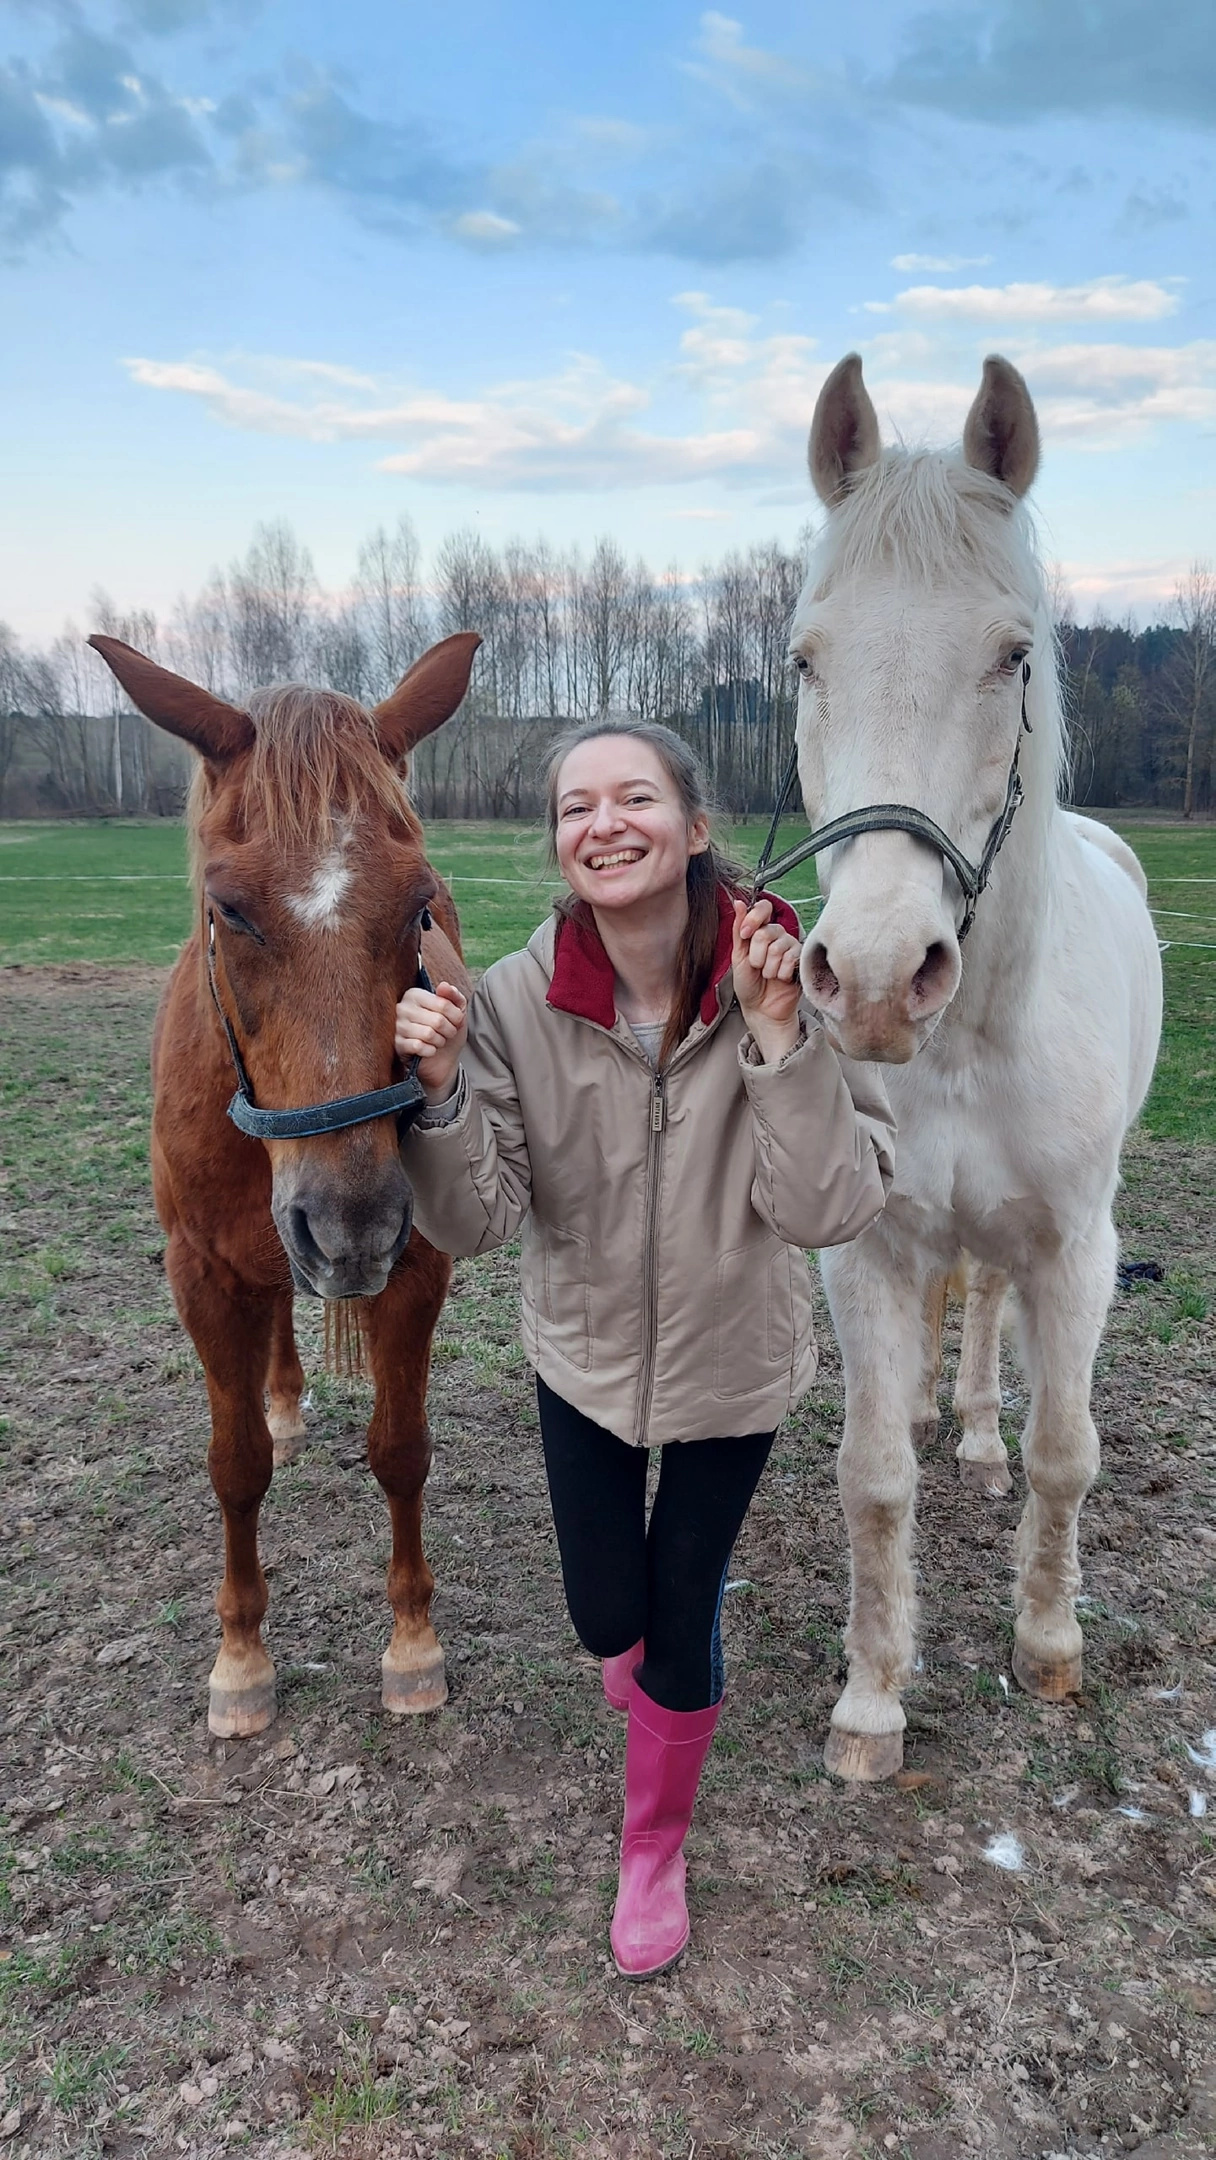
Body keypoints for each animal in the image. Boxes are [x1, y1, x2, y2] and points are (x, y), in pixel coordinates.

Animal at [88, 631, 480, 1739]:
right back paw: (286, 1407)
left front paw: (412, 1645)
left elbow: (401, 1449)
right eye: (227, 908)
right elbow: (234, 1469)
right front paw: (241, 1660)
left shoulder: (413, 1268)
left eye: (419, 903)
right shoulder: (204, 1276)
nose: (351, 1226)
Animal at [785, 353, 1162, 1781]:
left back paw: (985, 1441)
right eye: (805, 658)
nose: (877, 978)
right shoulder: (867, 1250)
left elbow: (1067, 1453)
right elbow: (872, 1477)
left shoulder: (1079, 1249)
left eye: (1012, 654)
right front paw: (871, 1698)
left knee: (996, 1316)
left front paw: (1048, 1646)